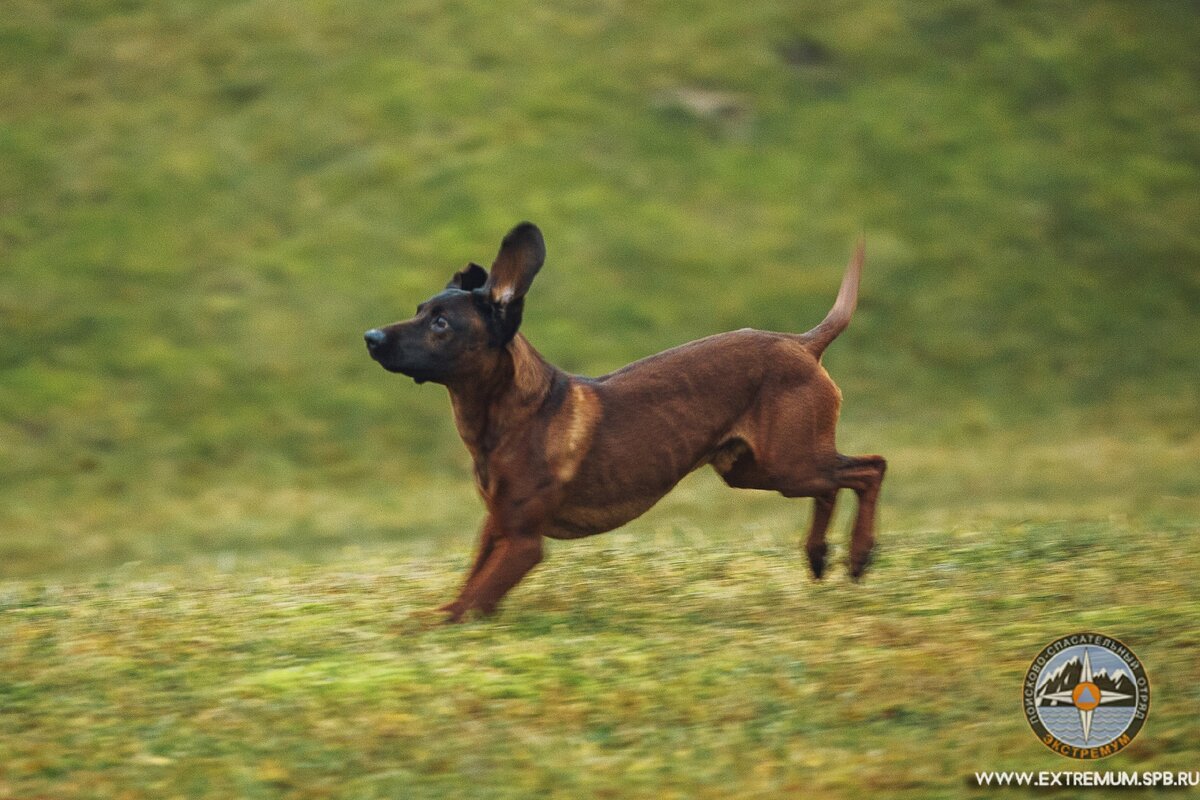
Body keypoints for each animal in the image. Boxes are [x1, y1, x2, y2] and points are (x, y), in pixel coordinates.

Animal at [362, 221, 883, 623]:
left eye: (441, 323)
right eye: (418, 311)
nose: (370, 337)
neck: (512, 419)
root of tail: (803, 343)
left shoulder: (524, 544)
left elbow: (467, 602)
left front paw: (425, 629)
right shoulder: (497, 528)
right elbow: (468, 588)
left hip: (787, 464)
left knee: (870, 467)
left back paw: (859, 555)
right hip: (755, 469)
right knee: (833, 485)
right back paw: (818, 556)